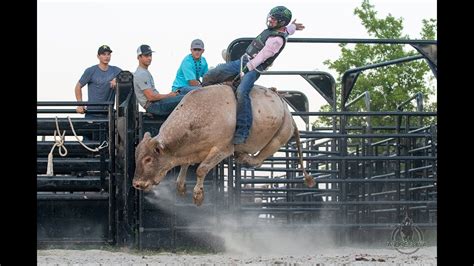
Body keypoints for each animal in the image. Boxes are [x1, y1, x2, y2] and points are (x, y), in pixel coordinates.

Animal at [131, 84, 314, 206]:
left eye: (148, 159)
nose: (136, 184)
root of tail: (287, 111)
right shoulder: (193, 150)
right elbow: (185, 164)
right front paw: (181, 186)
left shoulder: (222, 149)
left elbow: (201, 169)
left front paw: (198, 196)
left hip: (279, 137)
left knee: (259, 159)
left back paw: (243, 157)